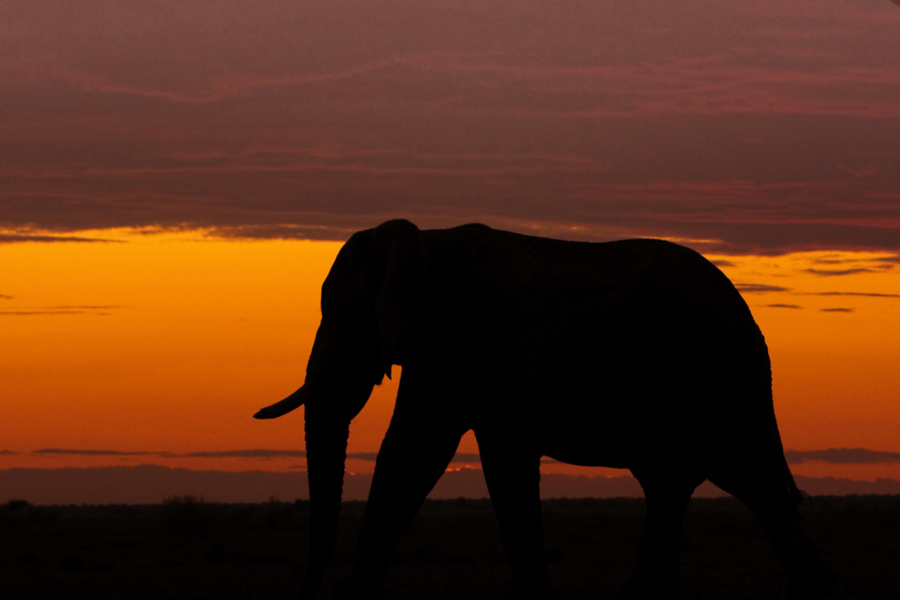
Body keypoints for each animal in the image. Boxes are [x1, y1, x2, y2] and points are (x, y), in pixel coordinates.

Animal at [253, 220, 836, 600]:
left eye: (339, 311)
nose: (305, 592)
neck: (422, 239)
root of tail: (747, 320)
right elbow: (504, 463)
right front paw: (533, 599)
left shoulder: (451, 338)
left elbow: (416, 443)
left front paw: (349, 596)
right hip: (727, 393)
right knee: (753, 485)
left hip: (686, 379)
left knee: (672, 483)